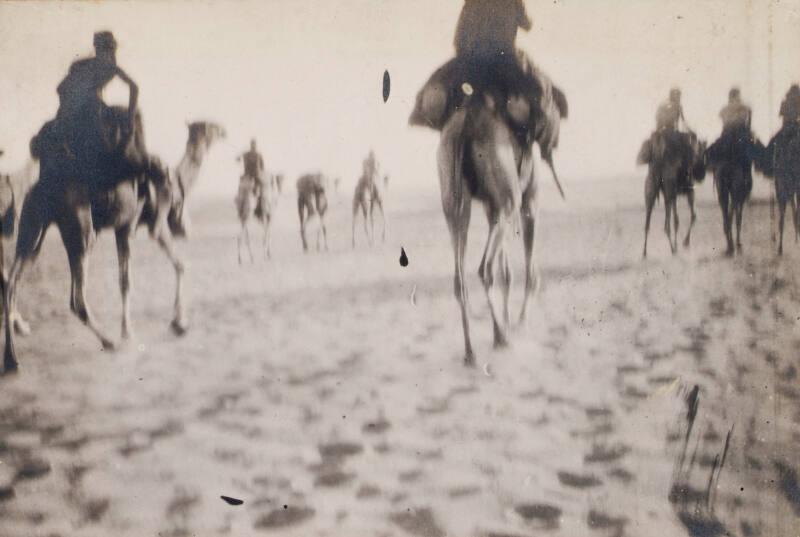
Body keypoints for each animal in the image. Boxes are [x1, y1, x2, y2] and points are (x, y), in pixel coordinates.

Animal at [2, 112, 225, 372]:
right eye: (210, 127)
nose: (224, 131)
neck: (177, 178)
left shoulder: (122, 228)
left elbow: (125, 281)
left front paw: (138, 329)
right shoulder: (152, 225)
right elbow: (176, 267)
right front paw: (175, 324)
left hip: (33, 227)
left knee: (12, 282)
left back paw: (12, 359)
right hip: (80, 230)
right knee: (76, 298)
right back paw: (109, 342)